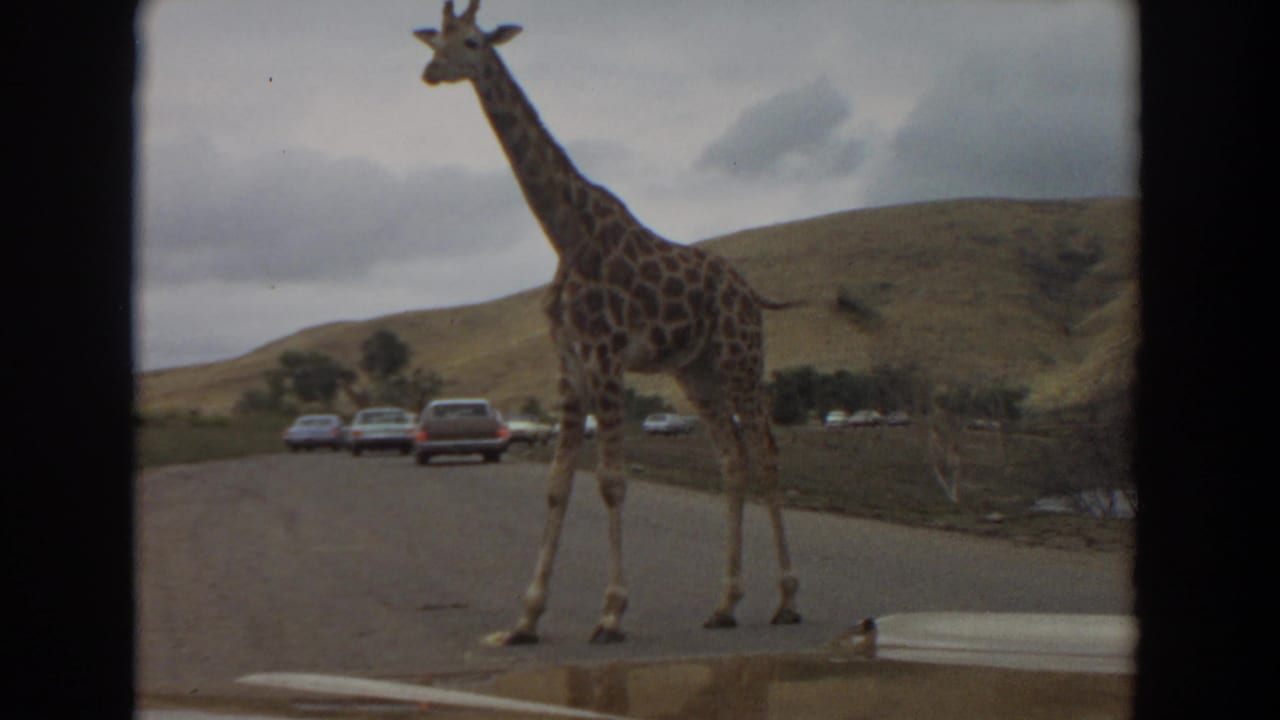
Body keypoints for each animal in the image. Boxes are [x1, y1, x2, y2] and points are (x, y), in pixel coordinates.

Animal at [414, 0, 801, 644]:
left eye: (471, 41)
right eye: (434, 39)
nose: (431, 72)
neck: (566, 234)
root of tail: (752, 294)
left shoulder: (607, 356)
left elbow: (611, 482)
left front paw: (612, 612)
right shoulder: (569, 363)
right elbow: (556, 486)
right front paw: (526, 618)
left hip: (741, 359)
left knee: (768, 453)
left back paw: (787, 600)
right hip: (697, 371)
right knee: (733, 459)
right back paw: (725, 604)